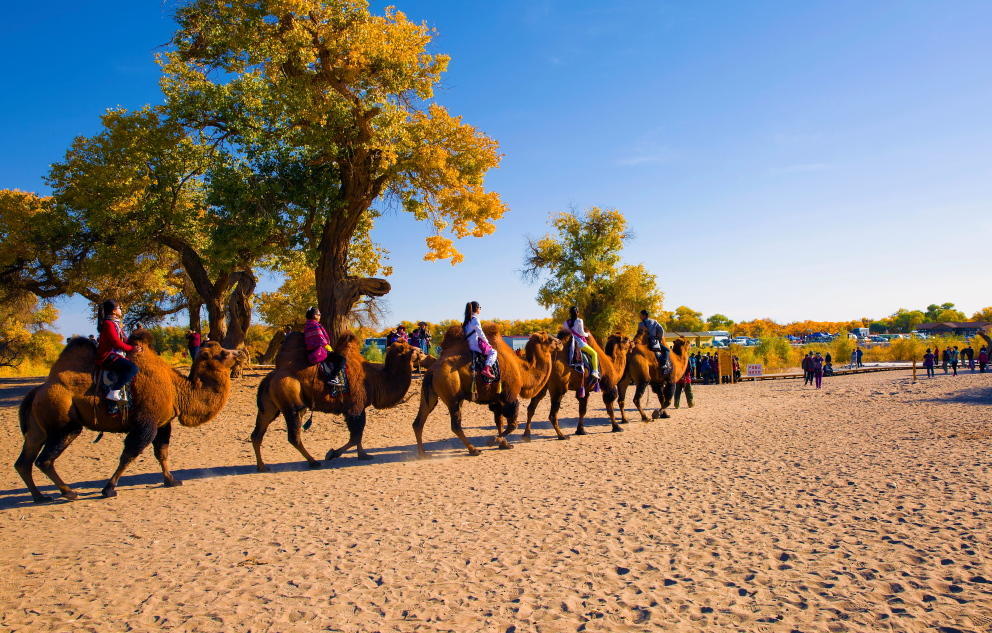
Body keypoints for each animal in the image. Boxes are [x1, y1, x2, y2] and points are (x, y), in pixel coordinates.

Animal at [17, 330, 240, 498]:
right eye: (222, 353)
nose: (240, 352)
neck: (177, 390)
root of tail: (37, 391)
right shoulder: (146, 422)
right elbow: (129, 455)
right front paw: (109, 489)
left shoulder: (162, 423)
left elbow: (162, 452)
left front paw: (171, 480)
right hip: (64, 424)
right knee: (44, 460)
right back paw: (68, 492)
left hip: (39, 427)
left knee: (24, 461)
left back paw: (39, 496)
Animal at [252, 334, 422, 472]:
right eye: (409, 348)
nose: (421, 351)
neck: (375, 380)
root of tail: (270, 377)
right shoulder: (355, 408)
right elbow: (355, 436)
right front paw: (332, 453)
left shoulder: (356, 409)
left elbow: (358, 435)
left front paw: (363, 455)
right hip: (291, 403)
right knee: (293, 435)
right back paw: (313, 462)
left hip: (269, 407)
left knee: (257, 434)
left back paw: (262, 466)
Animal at [410, 326, 560, 454]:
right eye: (550, 339)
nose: (560, 342)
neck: (522, 371)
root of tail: (432, 371)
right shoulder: (510, 397)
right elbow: (513, 424)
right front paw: (493, 440)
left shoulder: (497, 400)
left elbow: (499, 421)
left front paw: (504, 444)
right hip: (453, 396)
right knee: (455, 425)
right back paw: (473, 450)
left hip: (430, 395)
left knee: (419, 421)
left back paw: (422, 453)